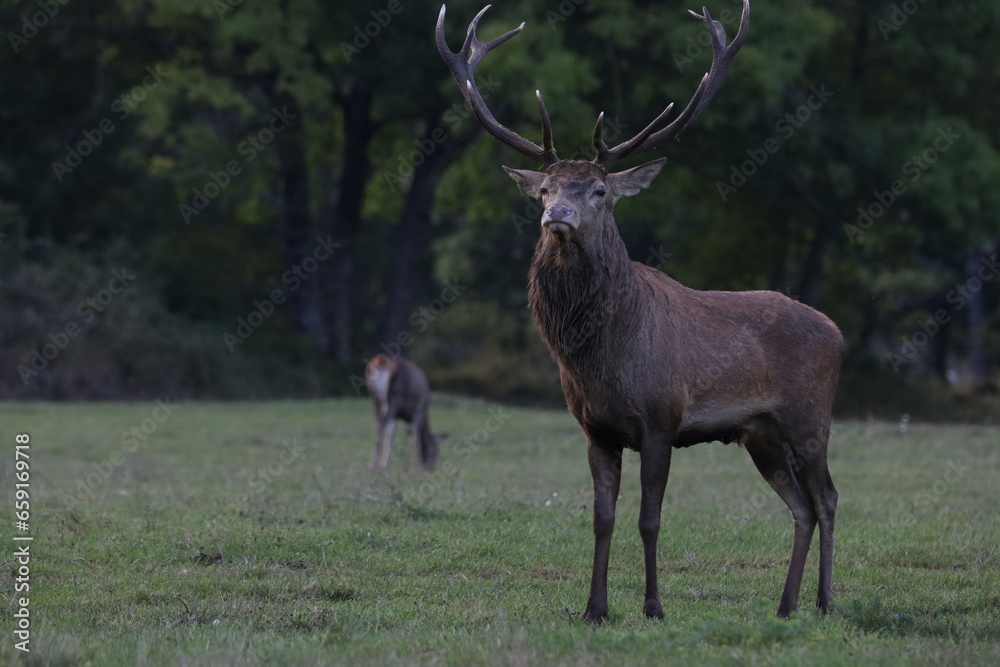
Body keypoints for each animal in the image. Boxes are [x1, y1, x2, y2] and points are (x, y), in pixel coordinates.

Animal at [436, 0, 843, 622]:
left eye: (599, 190)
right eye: (546, 188)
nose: (556, 215)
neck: (600, 360)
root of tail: (838, 332)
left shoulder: (660, 418)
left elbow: (649, 520)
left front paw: (653, 606)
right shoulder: (596, 430)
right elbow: (602, 520)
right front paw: (594, 608)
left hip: (809, 417)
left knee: (827, 498)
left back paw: (822, 601)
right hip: (761, 434)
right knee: (799, 506)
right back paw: (785, 605)